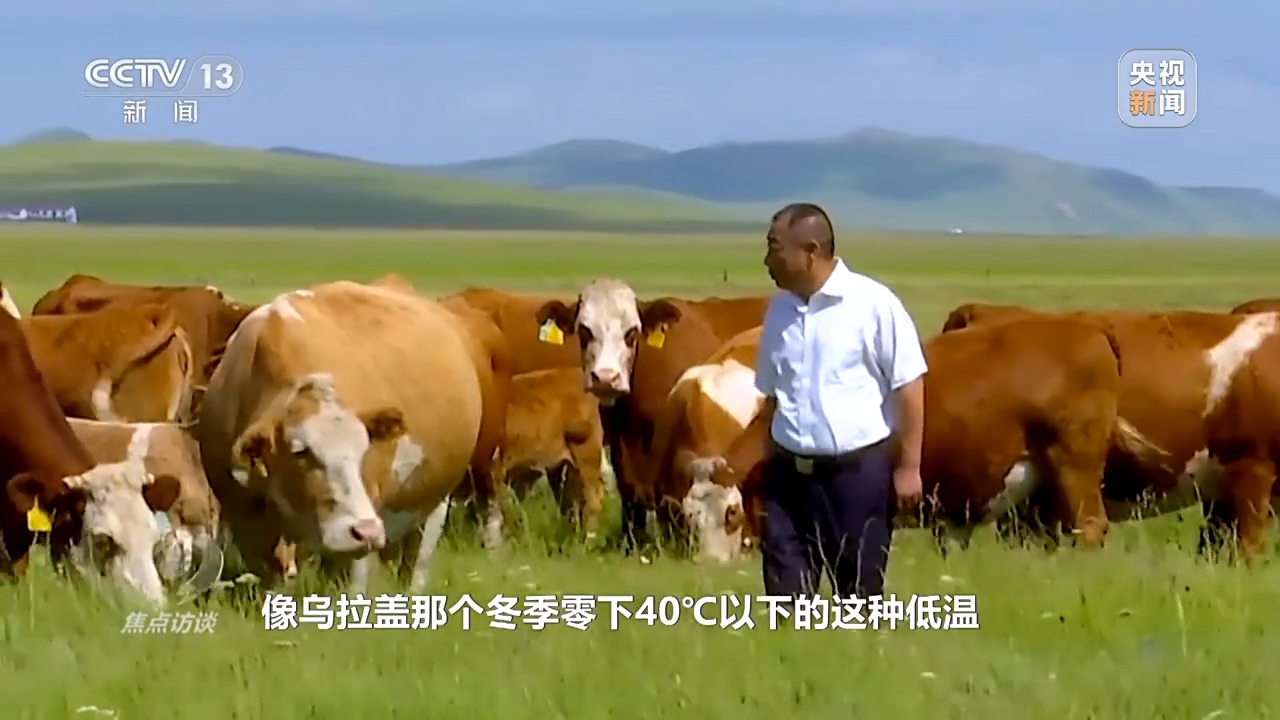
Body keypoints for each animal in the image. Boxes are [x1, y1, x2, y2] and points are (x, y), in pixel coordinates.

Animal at [197, 281, 486, 593]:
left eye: (365, 448)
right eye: (301, 451)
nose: (366, 531)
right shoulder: (248, 523)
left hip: (434, 503)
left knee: (415, 565)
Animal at [694, 317, 1170, 562]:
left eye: (732, 514)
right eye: (690, 518)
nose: (712, 572)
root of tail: (1088, 328)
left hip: (1075, 464)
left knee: (1089, 525)